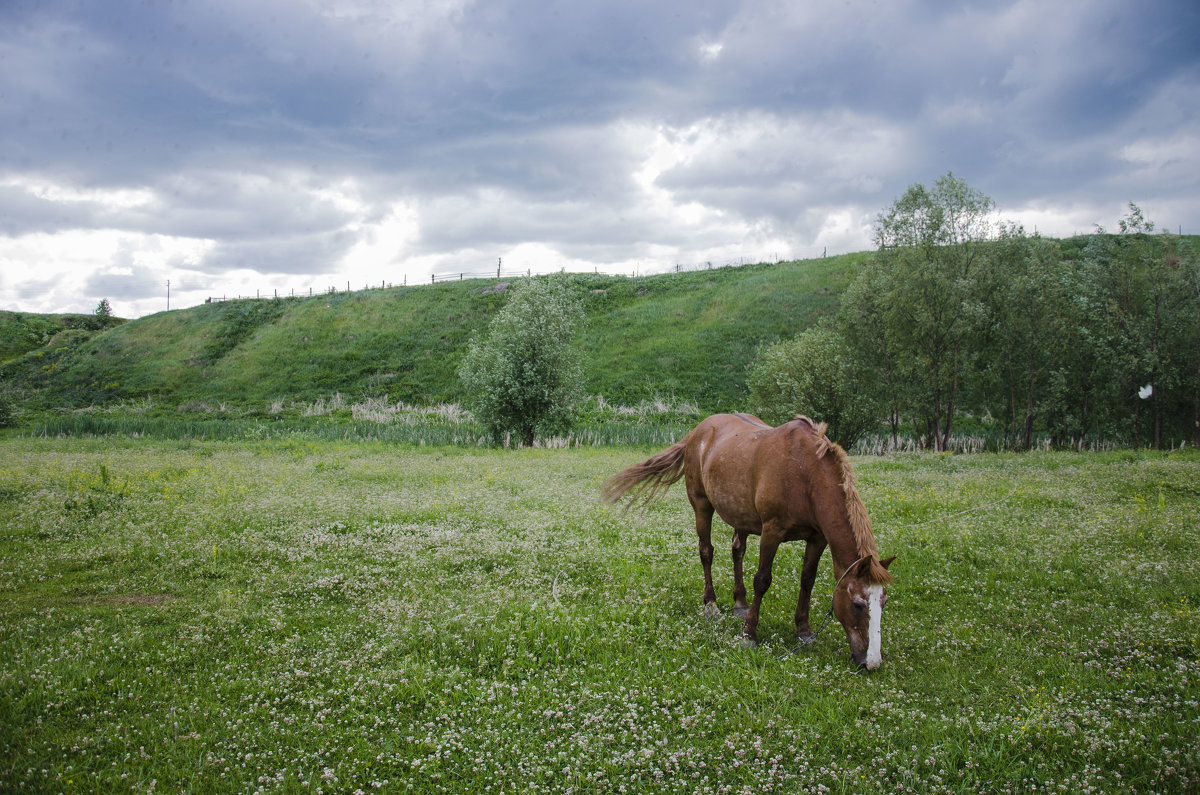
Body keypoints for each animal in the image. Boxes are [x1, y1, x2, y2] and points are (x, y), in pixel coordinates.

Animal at [604, 413, 897, 667]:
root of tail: (698, 431)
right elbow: (763, 580)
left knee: (737, 551)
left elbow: (807, 580)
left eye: (883, 602)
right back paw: (711, 605)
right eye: (858, 604)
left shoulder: (817, 538)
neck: (804, 473)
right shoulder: (772, 531)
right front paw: (749, 635)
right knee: (706, 551)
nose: (871, 663)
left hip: (741, 515)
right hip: (702, 506)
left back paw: (740, 602)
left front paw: (803, 630)